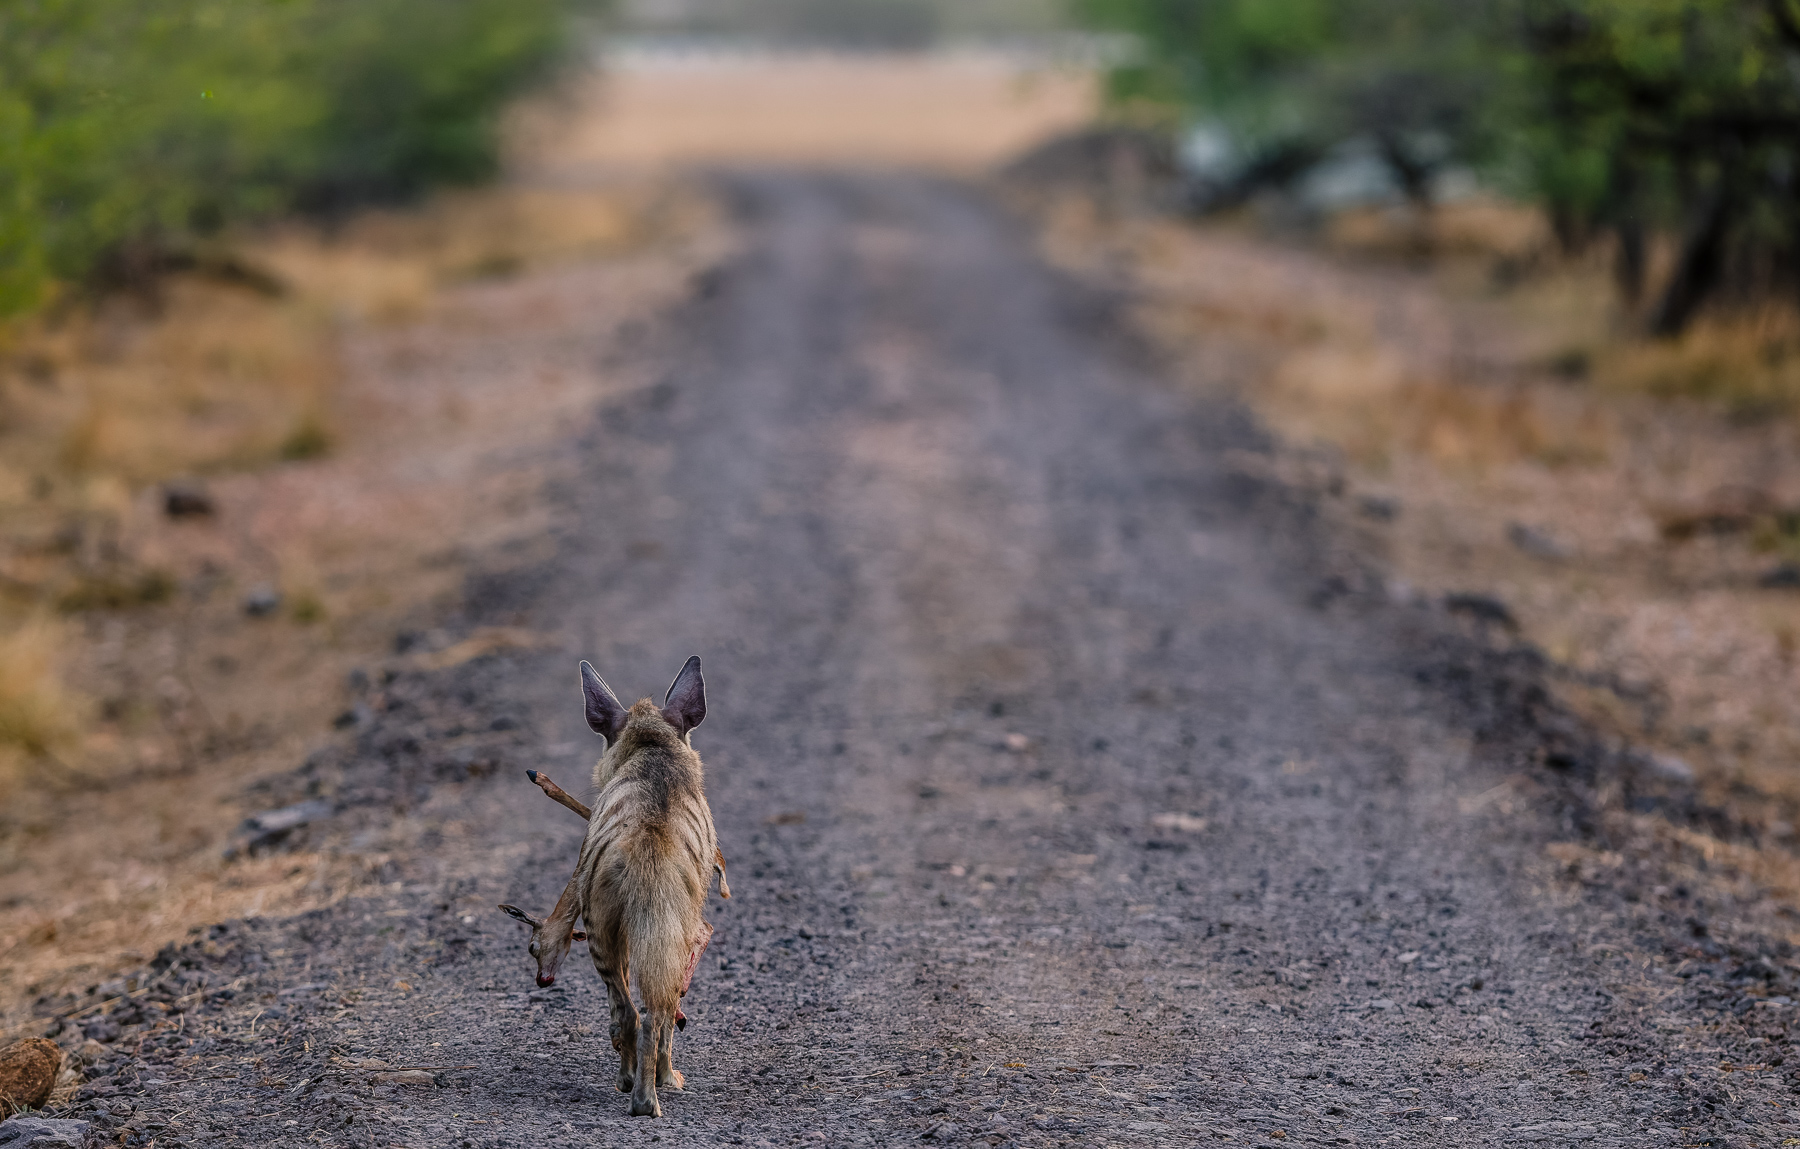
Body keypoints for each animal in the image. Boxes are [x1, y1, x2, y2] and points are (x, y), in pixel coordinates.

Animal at [498, 657, 728, 1117]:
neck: (652, 752)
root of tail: (648, 850)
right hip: (652, 926)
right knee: (652, 1008)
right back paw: (649, 1091)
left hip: (608, 927)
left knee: (634, 1010)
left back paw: (638, 1091)